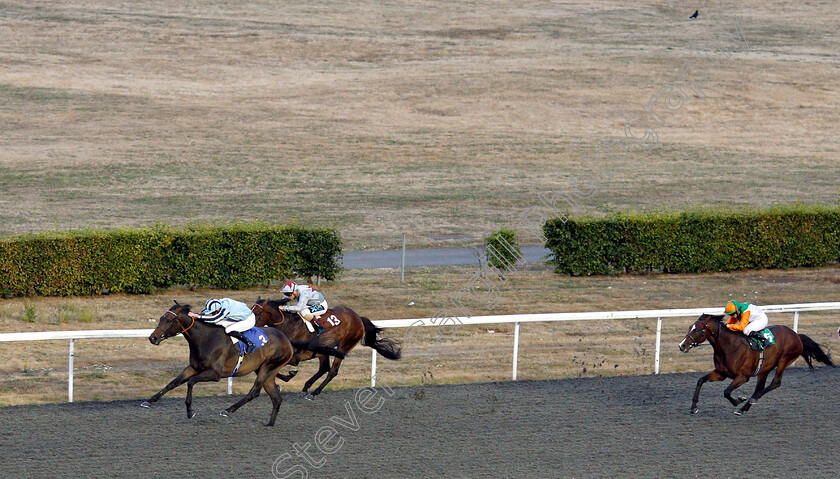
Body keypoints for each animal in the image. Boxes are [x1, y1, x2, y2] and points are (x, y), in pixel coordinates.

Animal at [143, 304, 346, 428]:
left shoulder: (215, 373)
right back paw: (270, 423)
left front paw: (190, 411)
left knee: (254, 391)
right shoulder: (193, 368)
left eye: (169, 320)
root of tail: (287, 339)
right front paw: (149, 401)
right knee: (276, 397)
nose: (153, 338)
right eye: (161, 318)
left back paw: (228, 410)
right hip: (266, 370)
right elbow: (173, 383)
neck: (205, 338)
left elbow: (191, 383)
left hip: (267, 367)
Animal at [249, 300, 400, 402]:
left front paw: (286, 377)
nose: (248, 326)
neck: (288, 325)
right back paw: (306, 388)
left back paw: (314, 391)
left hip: (344, 346)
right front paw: (279, 382)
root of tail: (358, 318)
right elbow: (258, 369)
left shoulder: (294, 357)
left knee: (332, 371)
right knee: (324, 368)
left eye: (256, 313)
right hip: (324, 350)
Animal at [684, 316, 832, 416]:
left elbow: (726, 392)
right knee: (760, 387)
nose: (682, 346)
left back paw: (752, 400)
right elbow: (700, 380)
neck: (730, 347)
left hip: (784, 359)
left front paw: (739, 400)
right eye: (690, 327)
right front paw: (693, 407)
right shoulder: (721, 373)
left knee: (775, 383)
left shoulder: (743, 376)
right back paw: (744, 408)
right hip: (765, 368)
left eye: (698, 330)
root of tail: (796, 335)